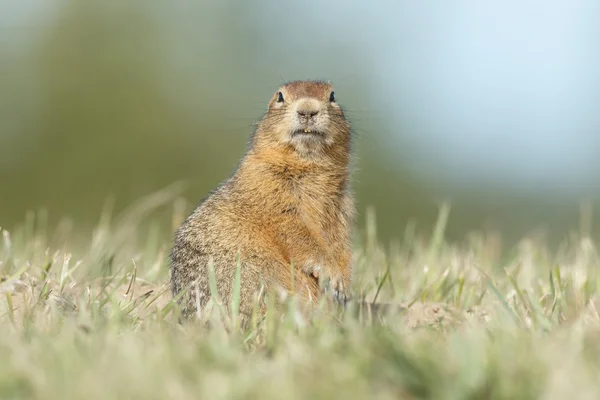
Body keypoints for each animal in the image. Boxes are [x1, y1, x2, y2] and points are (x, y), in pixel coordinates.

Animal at [170, 80, 356, 324]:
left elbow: (341, 242)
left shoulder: (341, 205)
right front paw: (332, 274)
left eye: (333, 96)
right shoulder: (270, 193)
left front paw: (344, 284)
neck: (307, 163)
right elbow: (297, 233)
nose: (307, 110)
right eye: (279, 96)